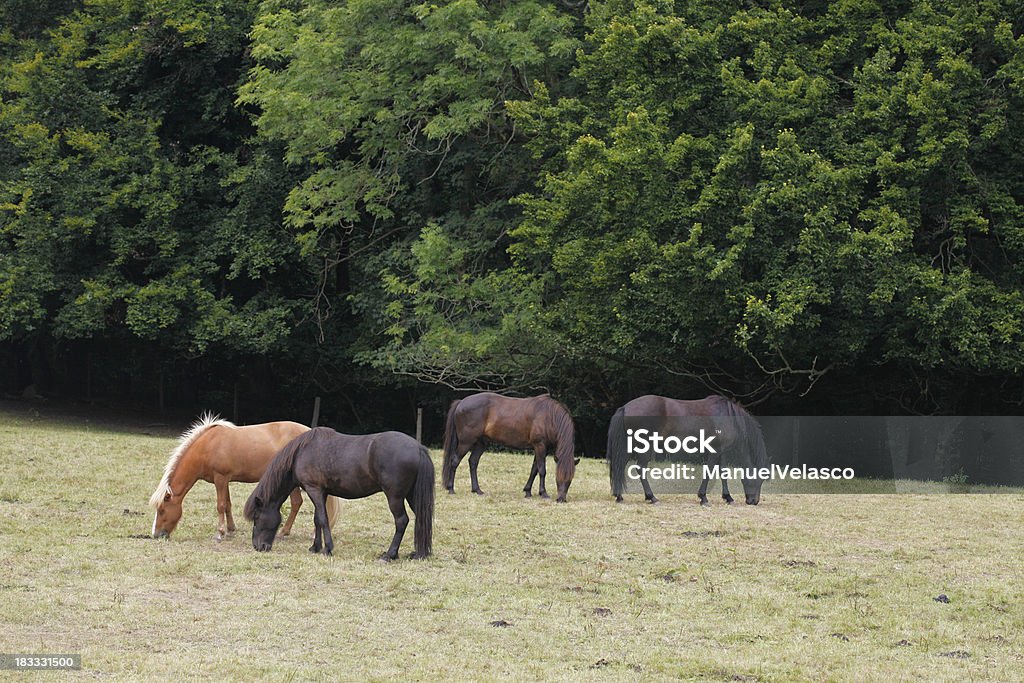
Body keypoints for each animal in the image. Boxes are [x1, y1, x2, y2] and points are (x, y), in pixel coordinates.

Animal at [149, 413, 339, 540]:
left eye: (162, 510)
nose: (156, 535)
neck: (207, 447)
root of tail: (310, 432)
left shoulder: (220, 479)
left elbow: (220, 505)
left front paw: (220, 533)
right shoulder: (224, 480)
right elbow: (227, 504)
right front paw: (231, 528)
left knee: (297, 503)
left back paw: (285, 532)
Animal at [245, 428, 434, 561]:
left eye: (256, 517)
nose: (258, 546)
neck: (302, 452)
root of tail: (418, 447)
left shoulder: (314, 489)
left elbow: (323, 519)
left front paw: (327, 549)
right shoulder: (321, 492)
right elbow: (317, 519)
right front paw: (315, 547)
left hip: (395, 497)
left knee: (402, 521)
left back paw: (390, 555)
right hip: (411, 495)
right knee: (421, 518)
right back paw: (419, 553)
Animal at [444, 389, 581, 501]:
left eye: (570, 479)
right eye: (558, 478)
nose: (561, 499)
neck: (549, 417)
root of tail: (461, 402)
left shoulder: (542, 449)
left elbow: (534, 470)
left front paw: (528, 491)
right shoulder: (540, 446)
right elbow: (542, 470)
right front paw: (543, 493)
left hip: (481, 443)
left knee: (473, 462)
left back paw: (477, 490)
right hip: (465, 442)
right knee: (455, 461)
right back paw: (451, 489)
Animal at [602, 395, 765, 507]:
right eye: (759, 479)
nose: (754, 501)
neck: (729, 416)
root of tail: (625, 407)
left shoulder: (720, 452)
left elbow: (723, 472)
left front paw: (728, 497)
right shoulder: (716, 451)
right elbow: (710, 471)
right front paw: (703, 498)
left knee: (620, 466)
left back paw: (619, 496)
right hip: (644, 447)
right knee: (640, 468)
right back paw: (652, 497)